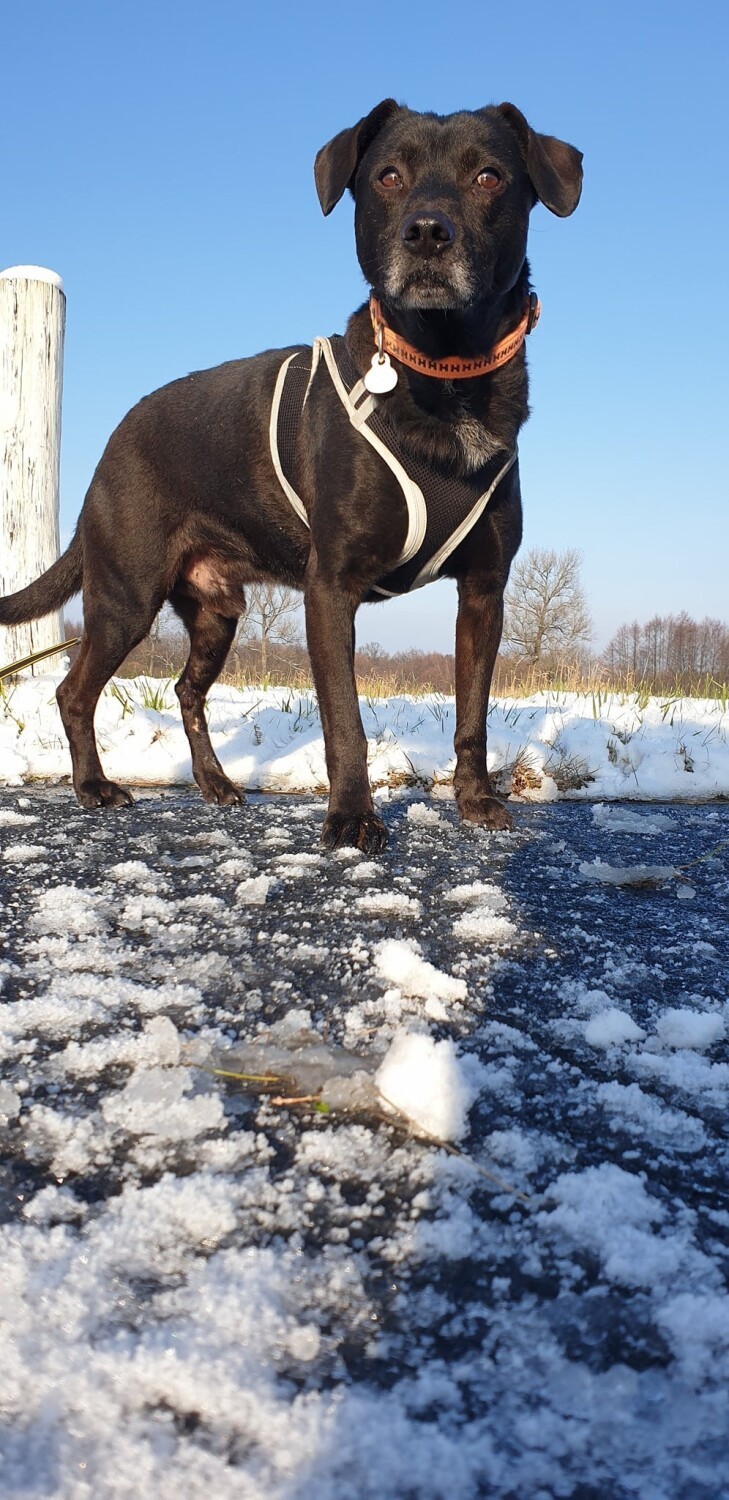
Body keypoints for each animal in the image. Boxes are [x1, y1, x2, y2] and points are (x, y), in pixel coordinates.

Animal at [0, 102, 582, 858]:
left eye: (489, 176)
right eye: (387, 176)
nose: (427, 231)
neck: (442, 376)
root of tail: (113, 442)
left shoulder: (484, 592)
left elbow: (473, 712)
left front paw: (476, 801)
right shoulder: (330, 589)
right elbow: (345, 720)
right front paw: (351, 818)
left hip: (216, 612)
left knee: (187, 692)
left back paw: (215, 784)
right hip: (126, 595)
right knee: (75, 692)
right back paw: (95, 787)